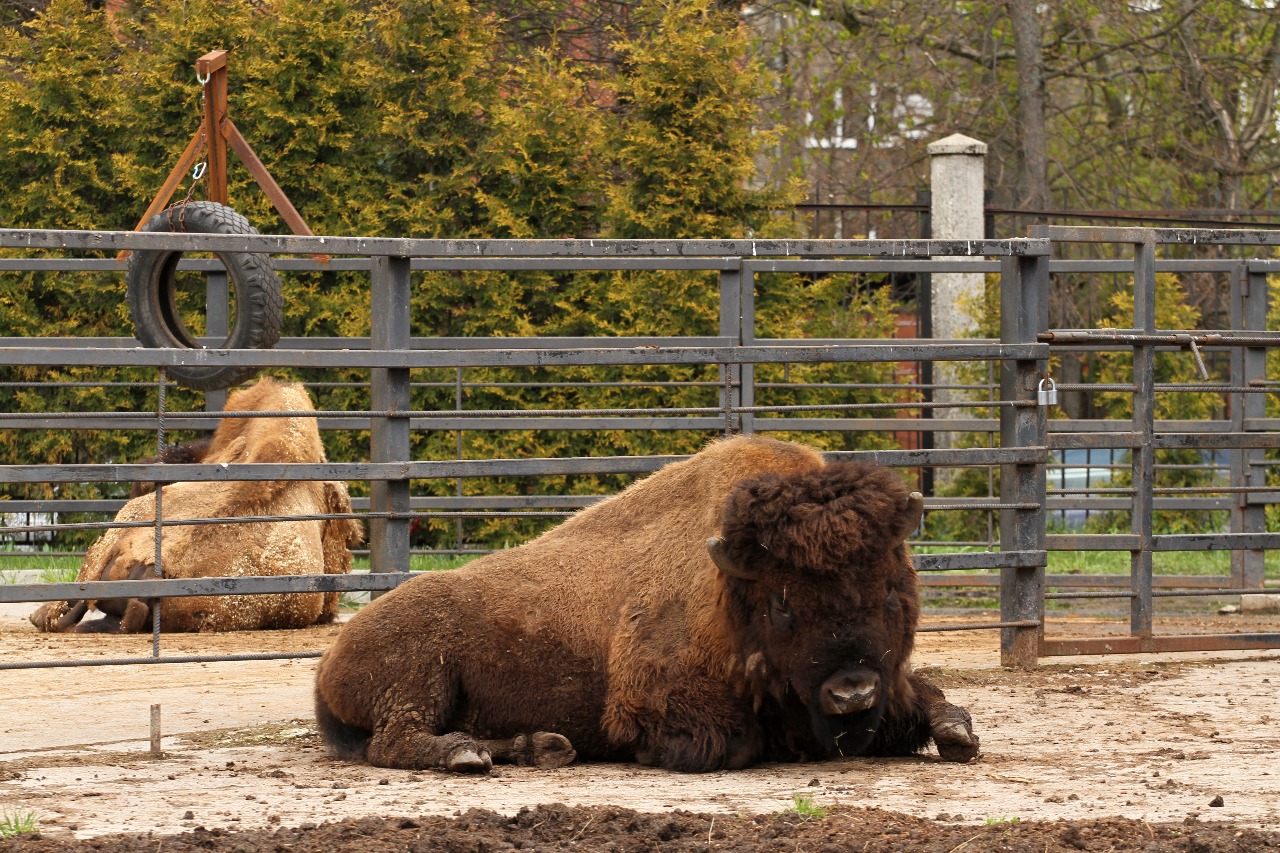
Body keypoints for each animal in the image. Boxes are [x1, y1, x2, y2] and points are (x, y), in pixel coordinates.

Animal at [317, 435, 977, 773]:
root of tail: (331, 656)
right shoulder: (659, 702)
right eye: (782, 602)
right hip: (420, 676)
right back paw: (467, 755)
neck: (729, 591)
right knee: (394, 740)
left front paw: (955, 733)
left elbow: (931, 701)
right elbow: (734, 743)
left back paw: (543, 748)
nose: (852, 692)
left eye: (890, 589)